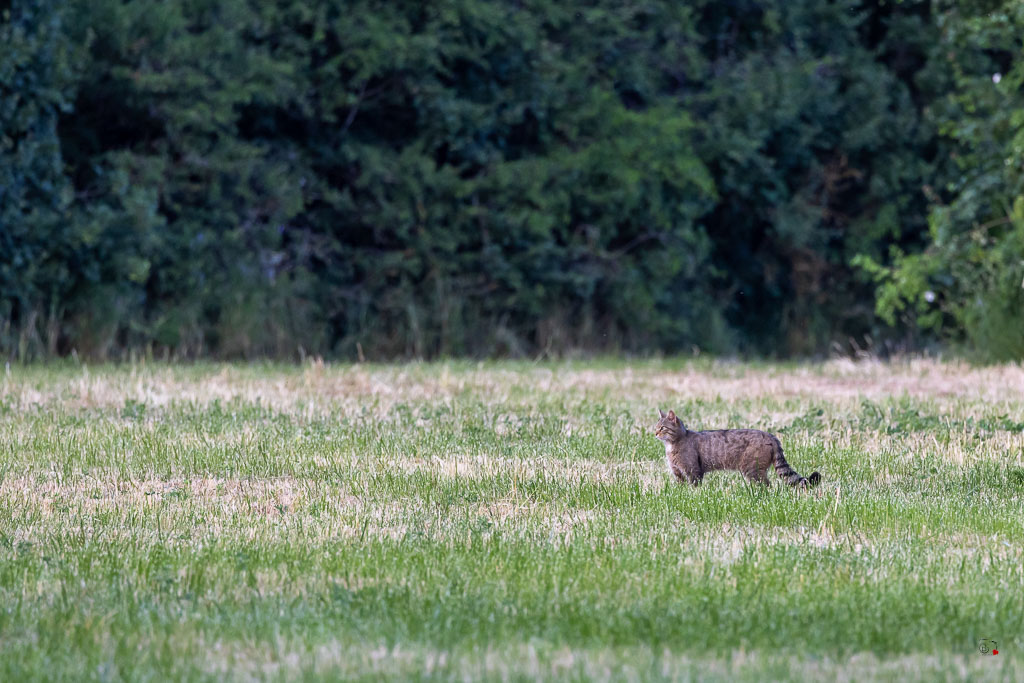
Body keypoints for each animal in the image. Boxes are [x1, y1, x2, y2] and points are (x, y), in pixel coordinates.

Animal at [655, 409, 823, 489]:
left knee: (767, 485)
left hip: (752, 469)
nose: (655, 433)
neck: (672, 445)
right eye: (655, 427)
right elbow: (681, 487)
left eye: (662, 428)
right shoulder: (678, 473)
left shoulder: (693, 471)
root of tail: (771, 436)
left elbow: (694, 487)